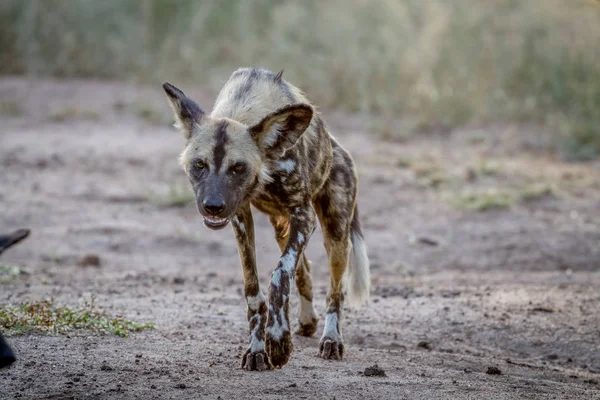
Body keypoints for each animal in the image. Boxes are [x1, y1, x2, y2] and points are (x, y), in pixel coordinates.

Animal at [164, 67, 370, 370]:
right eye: (199, 165)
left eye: (238, 168)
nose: (212, 207)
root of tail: (335, 144)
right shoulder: (240, 216)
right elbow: (253, 290)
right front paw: (257, 350)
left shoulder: (303, 216)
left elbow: (278, 275)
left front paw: (278, 341)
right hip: (282, 229)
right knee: (305, 271)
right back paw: (307, 321)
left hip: (334, 234)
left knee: (335, 291)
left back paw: (331, 339)